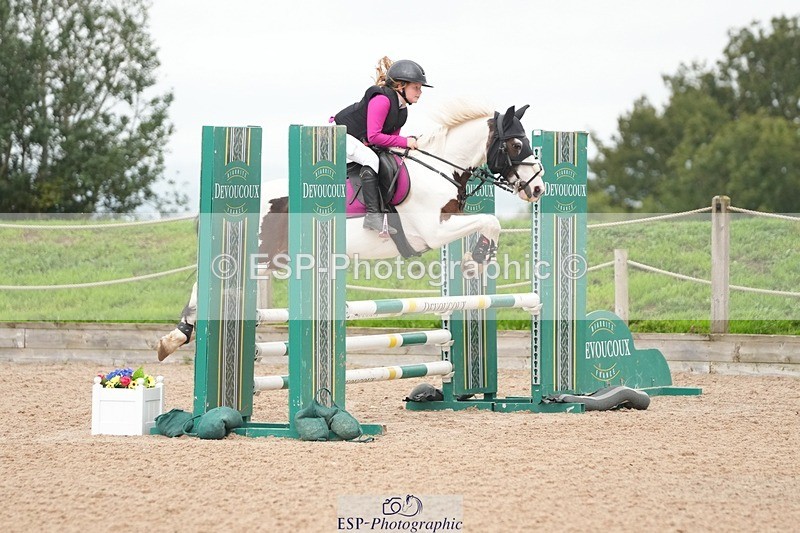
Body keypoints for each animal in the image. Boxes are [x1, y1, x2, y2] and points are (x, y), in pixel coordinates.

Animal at [156, 100, 545, 360]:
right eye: (515, 144)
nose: (538, 189)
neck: (438, 169)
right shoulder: (433, 231)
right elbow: (490, 221)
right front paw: (475, 261)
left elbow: (489, 223)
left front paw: (474, 261)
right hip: (254, 255)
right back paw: (174, 338)